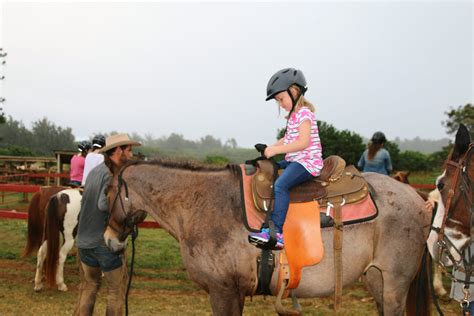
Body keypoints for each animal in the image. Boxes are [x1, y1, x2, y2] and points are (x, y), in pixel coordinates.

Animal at [103, 160, 434, 316]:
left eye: (107, 192)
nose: (109, 240)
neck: (202, 204)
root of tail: (418, 199)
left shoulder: (222, 290)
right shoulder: (233, 291)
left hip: (395, 282)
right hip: (377, 279)